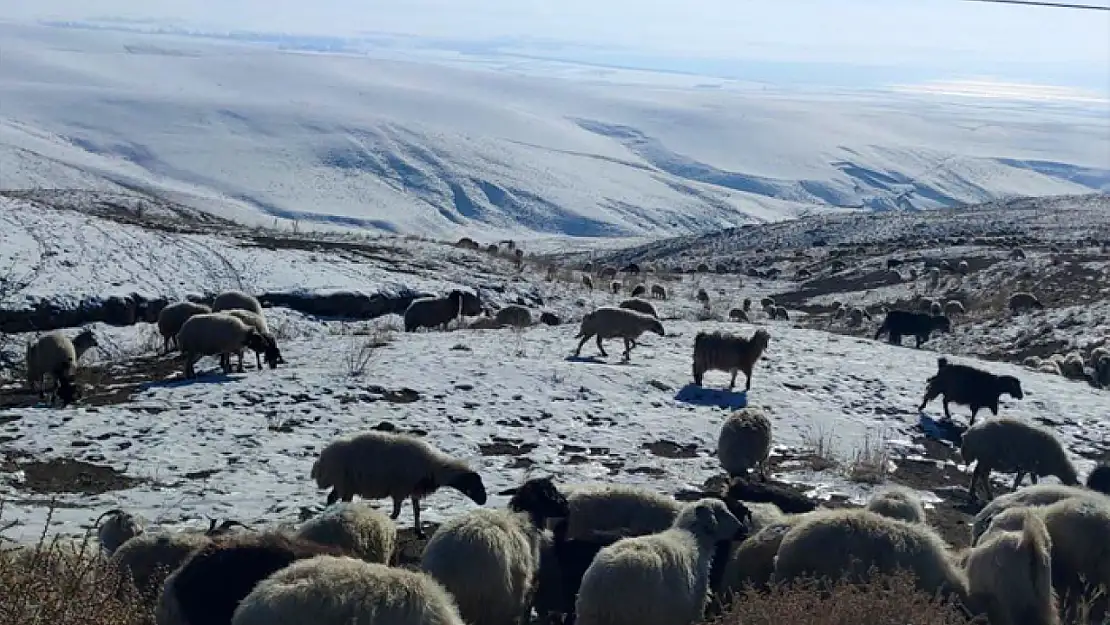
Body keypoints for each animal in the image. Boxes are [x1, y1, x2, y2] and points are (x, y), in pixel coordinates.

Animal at [310, 430, 488, 537]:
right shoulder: (400, 490)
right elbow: (396, 513)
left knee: (332, 498)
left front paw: (419, 531)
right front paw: (386, 520)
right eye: (474, 484)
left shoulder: (414, 490)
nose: (484, 501)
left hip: (344, 485)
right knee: (338, 501)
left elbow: (417, 511)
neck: (434, 468)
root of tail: (322, 460)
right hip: (344, 483)